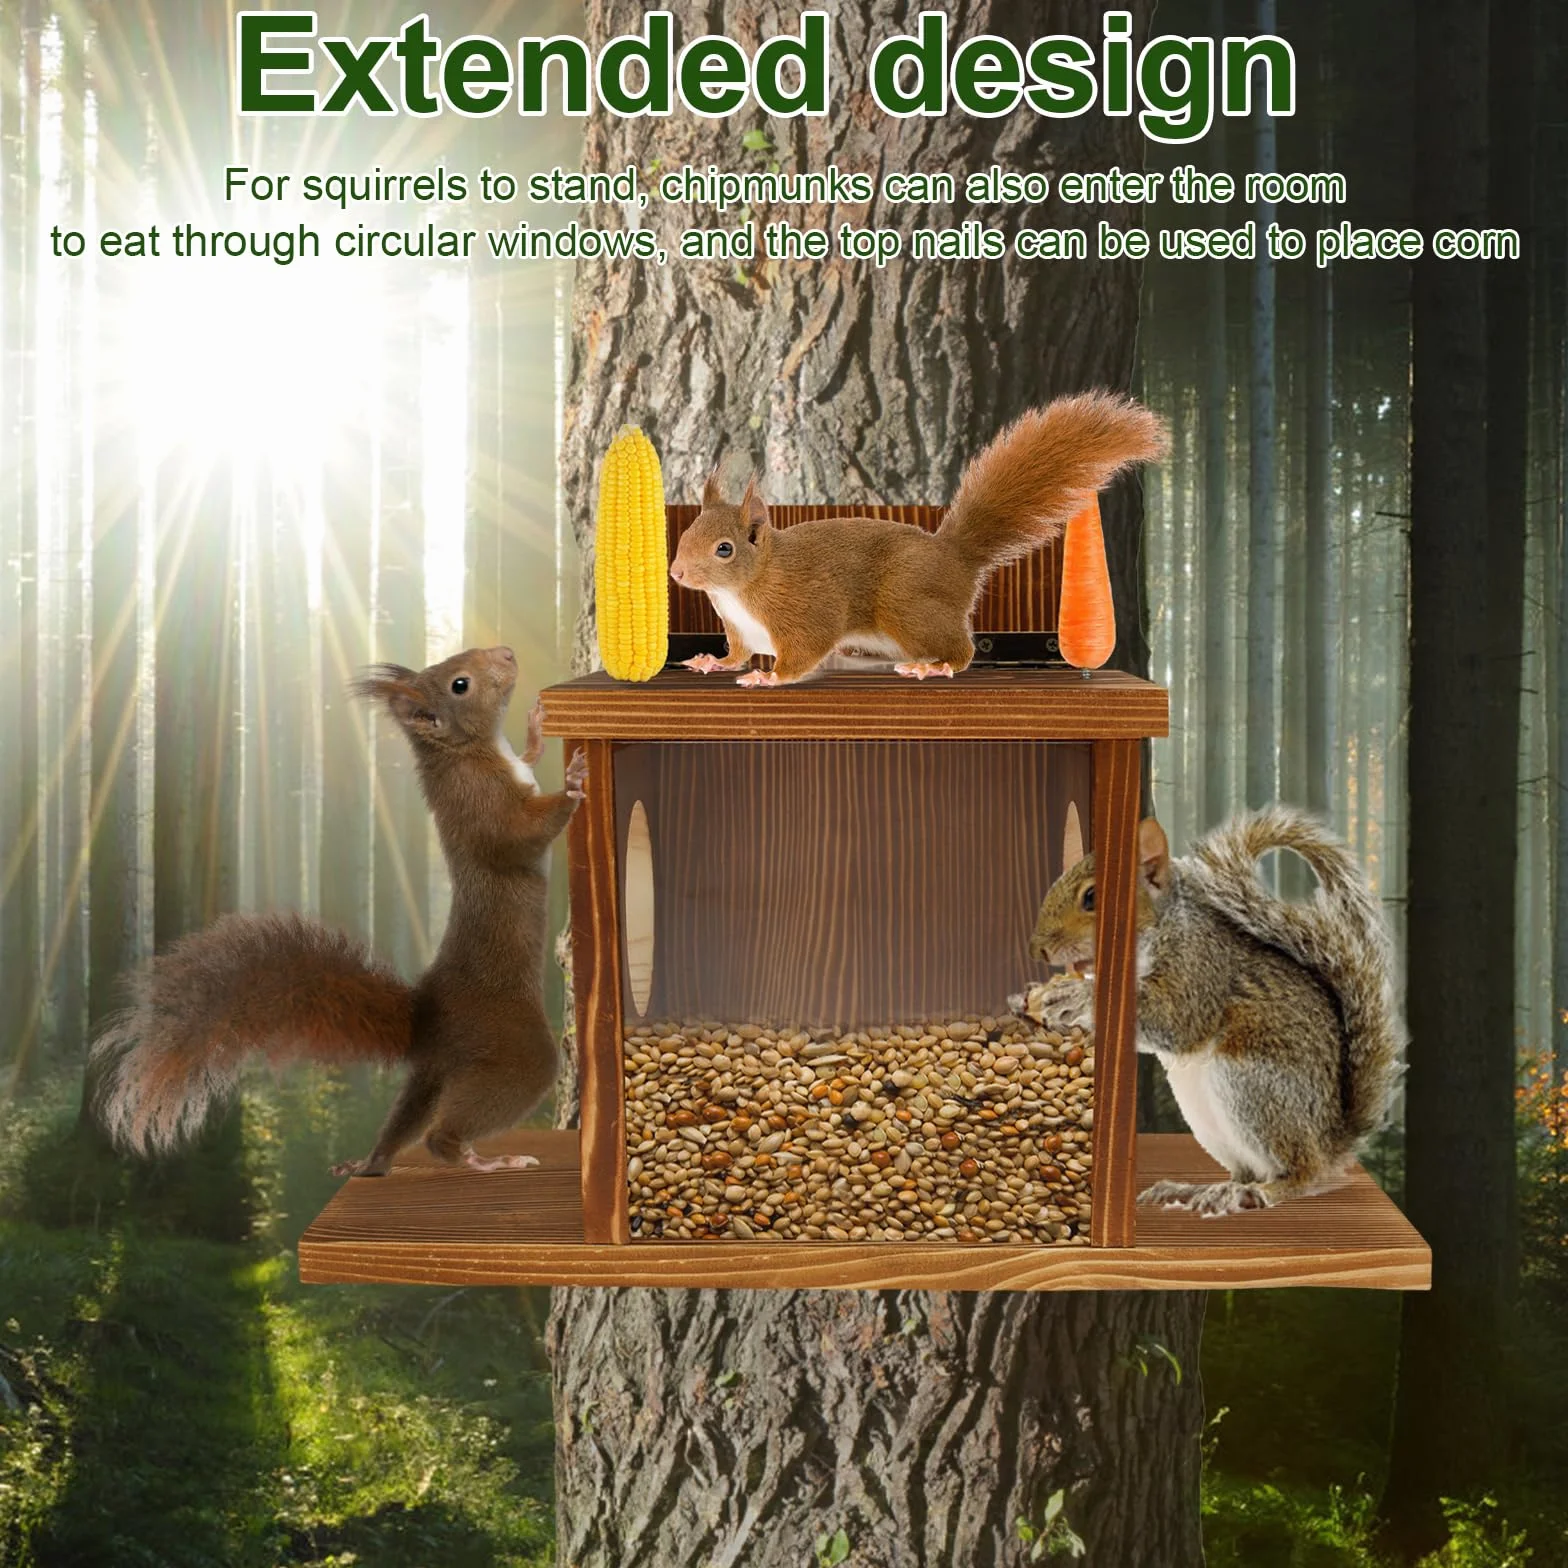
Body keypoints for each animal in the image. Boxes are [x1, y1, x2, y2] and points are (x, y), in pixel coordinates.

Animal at [92, 645, 587, 1178]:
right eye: (460, 684)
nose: (508, 653)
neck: (471, 749)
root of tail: (427, 1021)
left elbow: (529, 760)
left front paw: (536, 726)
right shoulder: (482, 806)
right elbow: (520, 836)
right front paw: (573, 784)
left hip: (432, 1075)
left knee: (402, 1124)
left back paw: (368, 1163)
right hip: (513, 1050)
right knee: (443, 1134)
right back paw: (484, 1160)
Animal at [669, 390, 1168, 686]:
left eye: (725, 549)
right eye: (686, 532)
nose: (675, 572)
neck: (743, 590)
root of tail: (956, 558)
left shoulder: (805, 609)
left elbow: (804, 650)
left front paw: (768, 678)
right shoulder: (740, 630)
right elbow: (737, 654)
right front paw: (711, 662)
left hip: (907, 602)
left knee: (963, 648)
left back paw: (939, 666)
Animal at [1011, 806, 1405, 1217]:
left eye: (1091, 898)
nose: (1037, 949)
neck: (1163, 928)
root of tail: (1331, 1139)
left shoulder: (1199, 970)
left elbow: (1173, 1019)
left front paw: (1075, 996)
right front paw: (1028, 1000)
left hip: (1254, 1088)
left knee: (1303, 1171)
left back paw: (1262, 1193)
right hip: (1206, 1117)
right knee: (1246, 1171)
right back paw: (1196, 1190)